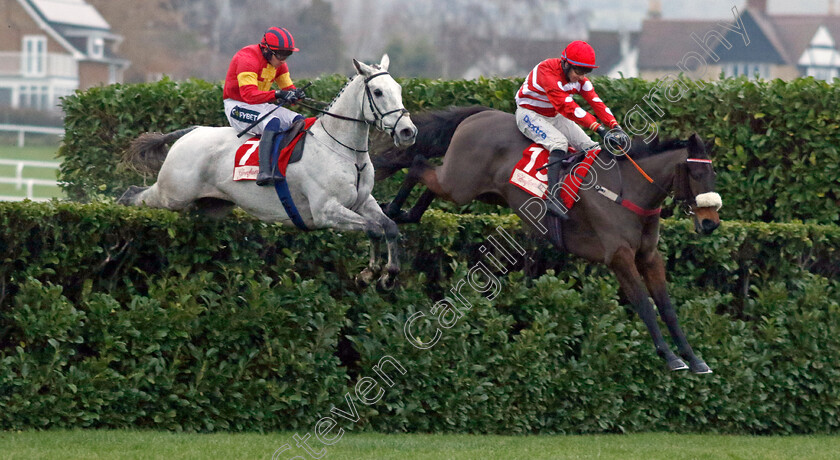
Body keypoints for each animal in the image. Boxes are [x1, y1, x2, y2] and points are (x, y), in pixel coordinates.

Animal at [374, 108, 720, 374]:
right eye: (696, 174)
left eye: (714, 174)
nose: (710, 223)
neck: (628, 192)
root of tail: (478, 114)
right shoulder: (619, 257)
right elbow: (646, 306)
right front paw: (672, 358)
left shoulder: (648, 256)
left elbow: (667, 306)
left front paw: (695, 359)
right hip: (459, 183)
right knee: (418, 163)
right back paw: (392, 209)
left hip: (471, 188)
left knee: (427, 178)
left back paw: (406, 213)